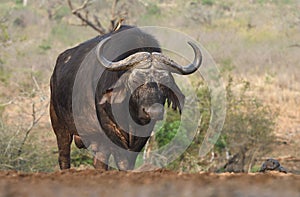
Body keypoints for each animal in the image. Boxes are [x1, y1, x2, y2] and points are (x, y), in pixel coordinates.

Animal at [50, 25, 203, 170]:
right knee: (64, 156)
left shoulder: (144, 132)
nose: (154, 112)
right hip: (60, 126)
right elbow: (122, 158)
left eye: (165, 83)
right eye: (135, 80)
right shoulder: (110, 128)